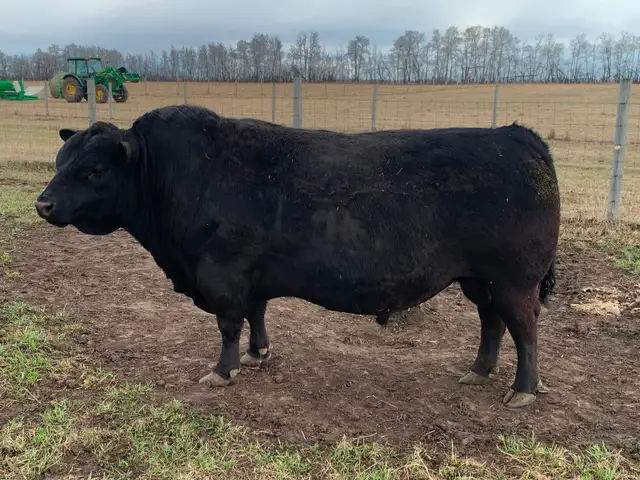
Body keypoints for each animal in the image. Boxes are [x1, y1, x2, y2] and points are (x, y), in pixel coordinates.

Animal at [34, 104, 560, 409]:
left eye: (94, 169)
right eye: (60, 162)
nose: (43, 204)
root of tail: (516, 134)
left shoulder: (222, 273)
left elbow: (228, 324)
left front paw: (223, 372)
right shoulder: (251, 275)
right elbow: (256, 314)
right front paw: (258, 353)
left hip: (514, 279)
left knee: (525, 328)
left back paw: (522, 390)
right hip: (480, 279)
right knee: (492, 323)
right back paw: (478, 372)